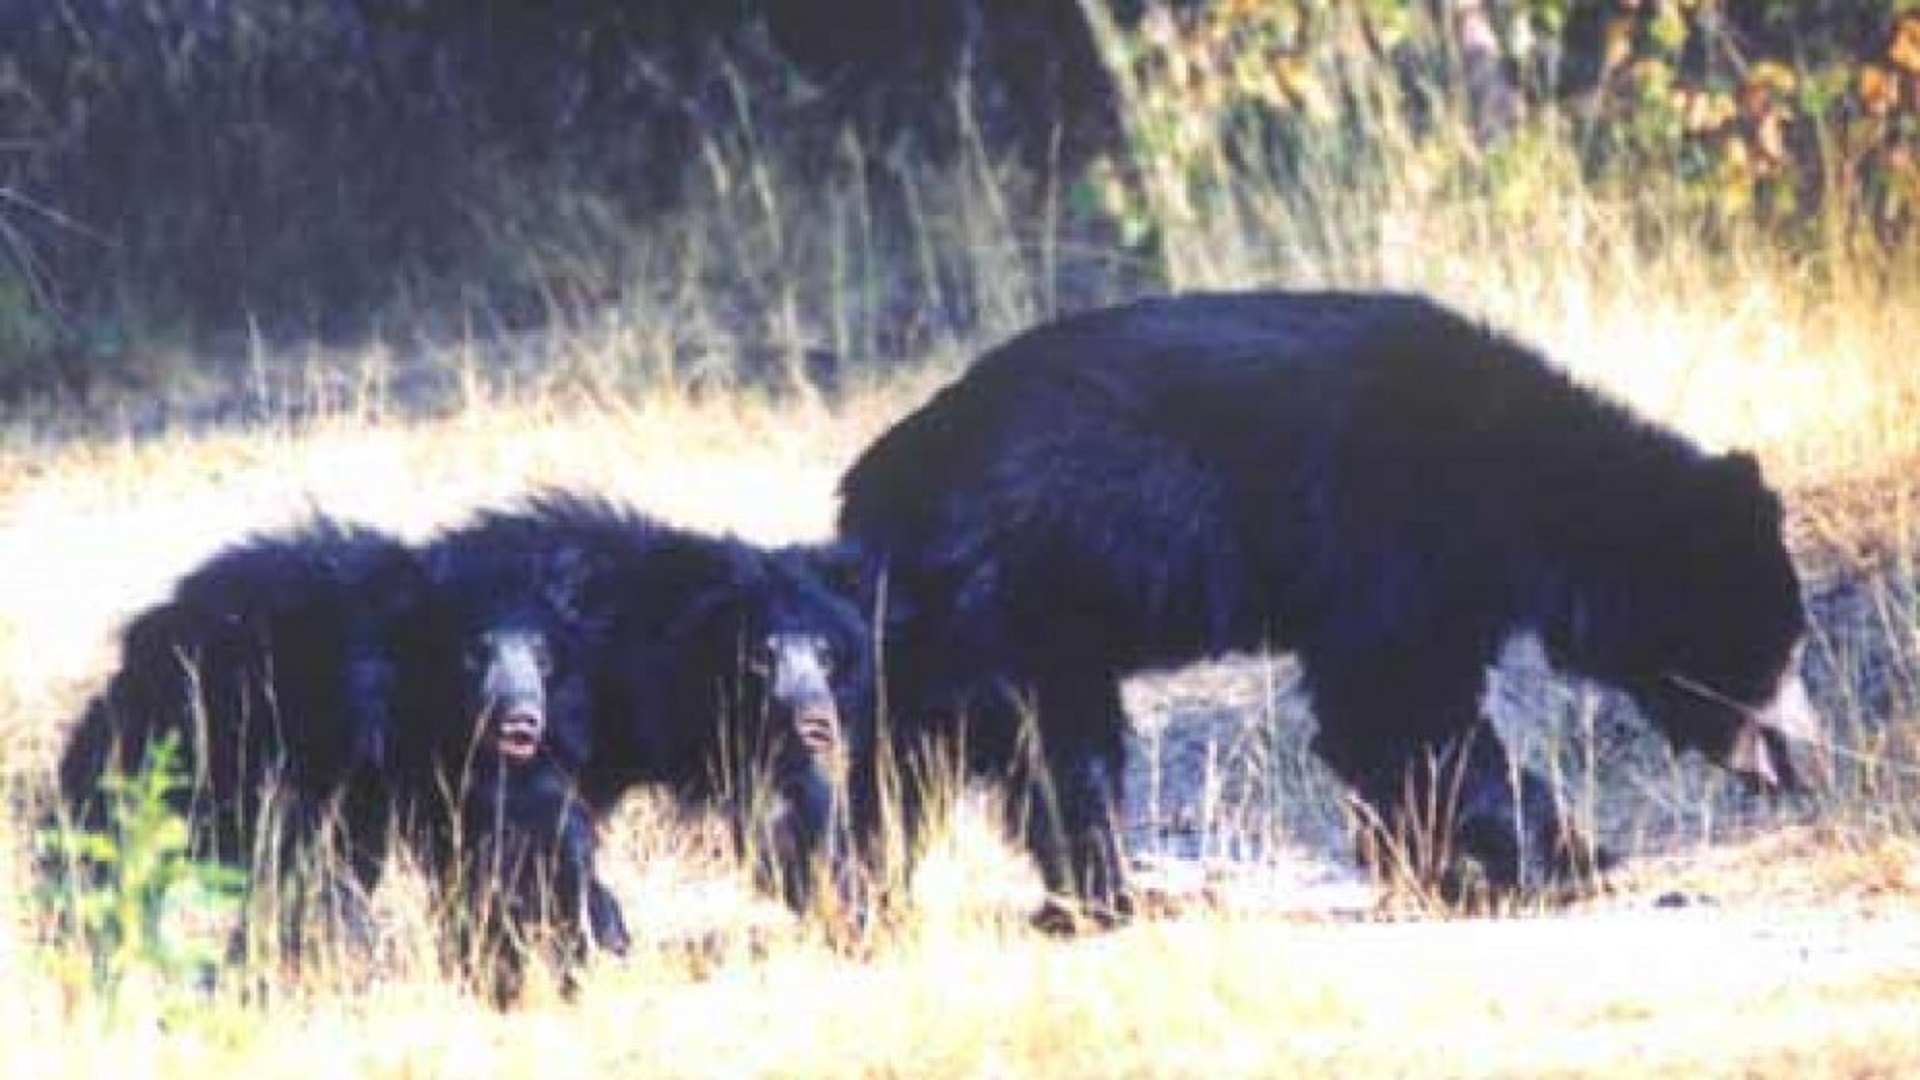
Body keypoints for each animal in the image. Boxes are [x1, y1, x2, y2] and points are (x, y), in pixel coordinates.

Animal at [837, 288, 1812, 926]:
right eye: (1779, 649)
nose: (1799, 764)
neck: (1529, 491)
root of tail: (870, 493)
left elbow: (1395, 721)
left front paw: (1446, 870)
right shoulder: (1394, 537)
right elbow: (1401, 707)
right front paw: (1562, 860)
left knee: (909, 762)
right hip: (1014, 602)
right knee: (1060, 755)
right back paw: (1115, 895)